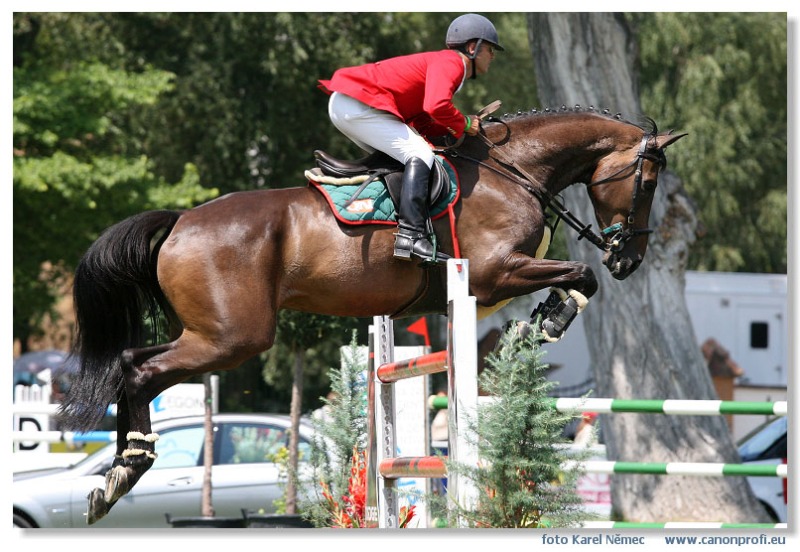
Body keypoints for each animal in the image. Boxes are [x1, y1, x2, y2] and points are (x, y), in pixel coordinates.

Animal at [57, 106, 680, 520]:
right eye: (648, 181)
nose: (629, 258)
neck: (514, 171)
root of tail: (181, 221)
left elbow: (575, 277)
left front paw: (545, 318)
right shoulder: (490, 273)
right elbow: (580, 275)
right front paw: (550, 320)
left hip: (209, 333)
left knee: (129, 361)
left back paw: (114, 475)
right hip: (232, 337)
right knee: (141, 369)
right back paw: (128, 470)